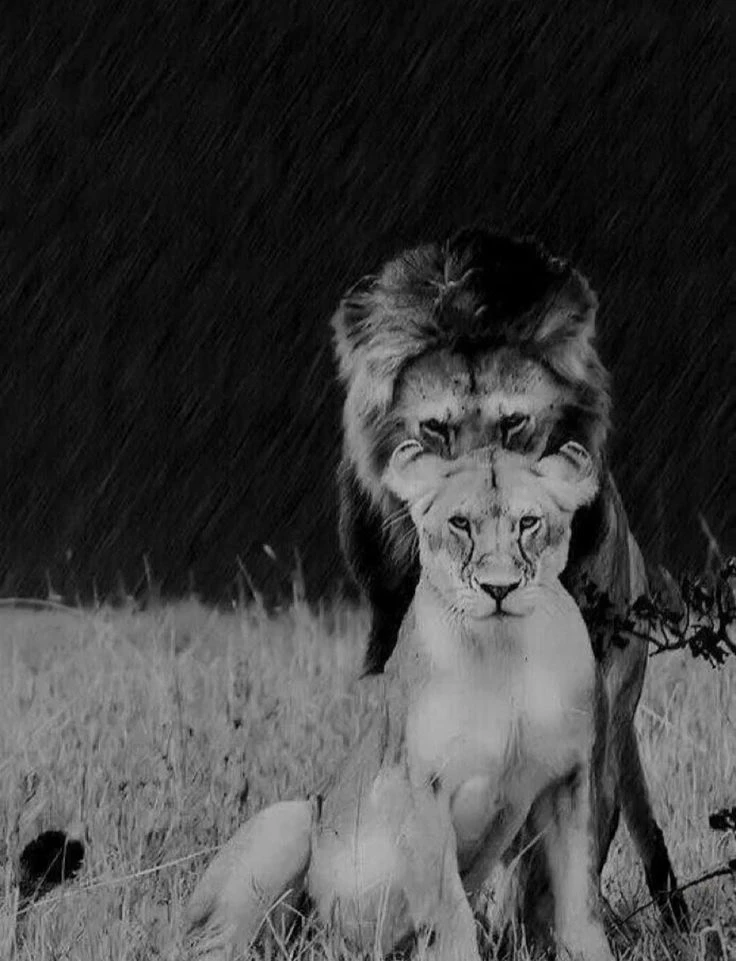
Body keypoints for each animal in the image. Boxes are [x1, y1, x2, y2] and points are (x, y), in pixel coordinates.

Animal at [185, 441, 615, 961]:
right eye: (460, 523)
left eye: (529, 522)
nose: (499, 588)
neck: (504, 652)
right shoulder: (416, 784)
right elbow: (449, 911)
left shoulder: (568, 780)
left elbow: (580, 903)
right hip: (289, 820)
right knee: (212, 943)